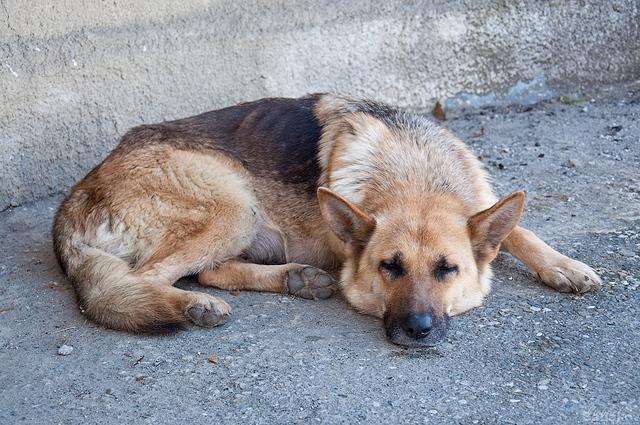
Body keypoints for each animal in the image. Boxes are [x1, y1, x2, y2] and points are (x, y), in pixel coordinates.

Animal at [53, 93, 600, 344]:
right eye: (389, 268)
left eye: (448, 269)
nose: (417, 330)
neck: (415, 171)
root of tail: (78, 191)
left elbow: (518, 229)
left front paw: (563, 265)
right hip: (233, 205)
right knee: (149, 279)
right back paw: (189, 306)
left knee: (208, 271)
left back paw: (296, 278)